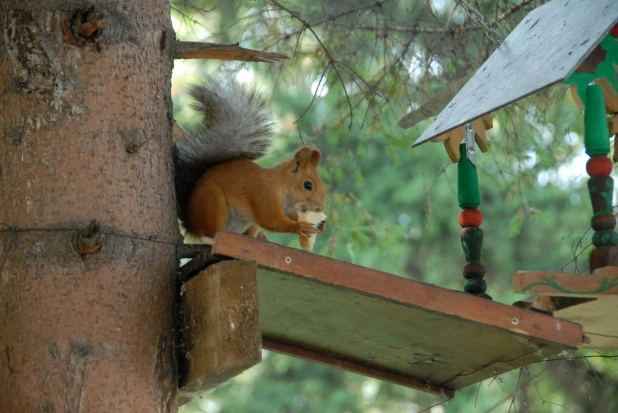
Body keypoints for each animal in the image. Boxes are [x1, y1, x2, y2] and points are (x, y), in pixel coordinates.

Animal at [171, 78, 324, 240]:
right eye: (308, 185)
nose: (320, 207)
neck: (281, 184)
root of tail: (193, 224)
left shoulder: (287, 207)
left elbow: (290, 214)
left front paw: (318, 225)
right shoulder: (265, 194)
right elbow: (270, 219)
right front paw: (297, 226)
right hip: (213, 202)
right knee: (212, 232)